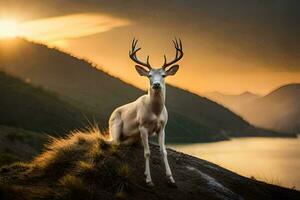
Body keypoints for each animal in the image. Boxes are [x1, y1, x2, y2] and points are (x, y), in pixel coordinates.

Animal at [108, 38, 183, 186]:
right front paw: (148, 179)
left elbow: (163, 151)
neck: (155, 112)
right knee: (115, 142)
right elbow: (147, 153)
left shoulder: (162, 128)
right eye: (149, 75)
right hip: (115, 127)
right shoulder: (142, 126)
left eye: (163, 75)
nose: (156, 84)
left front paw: (171, 178)